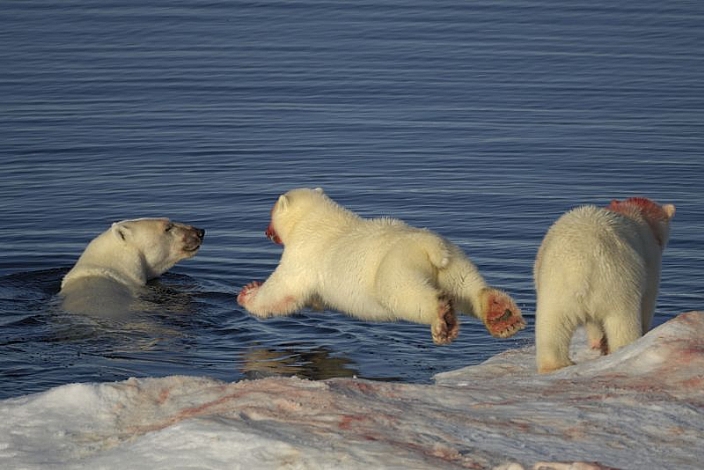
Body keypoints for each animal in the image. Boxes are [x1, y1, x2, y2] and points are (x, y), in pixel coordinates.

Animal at [237, 187, 525, 345]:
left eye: (270, 214)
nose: (266, 231)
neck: (315, 220)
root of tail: (428, 246)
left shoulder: (304, 253)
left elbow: (283, 288)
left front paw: (248, 293)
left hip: (394, 267)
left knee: (407, 295)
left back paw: (442, 319)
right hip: (453, 259)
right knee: (466, 286)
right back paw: (501, 315)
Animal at [534, 197, 675, 373]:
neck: (634, 213)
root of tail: (581, 265)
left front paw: (596, 343)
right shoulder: (650, 259)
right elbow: (648, 300)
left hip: (556, 288)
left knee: (551, 326)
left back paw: (555, 365)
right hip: (619, 282)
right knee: (622, 321)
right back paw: (625, 349)